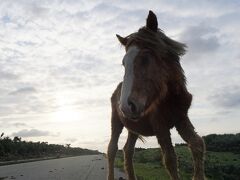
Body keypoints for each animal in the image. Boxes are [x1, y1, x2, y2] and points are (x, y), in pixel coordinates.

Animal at [108, 10, 205, 179]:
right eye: (124, 63)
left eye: (146, 57)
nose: (126, 106)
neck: (171, 98)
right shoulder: (160, 126)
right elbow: (170, 160)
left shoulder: (181, 119)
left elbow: (197, 145)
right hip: (116, 122)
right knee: (112, 150)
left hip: (133, 128)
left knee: (128, 151)